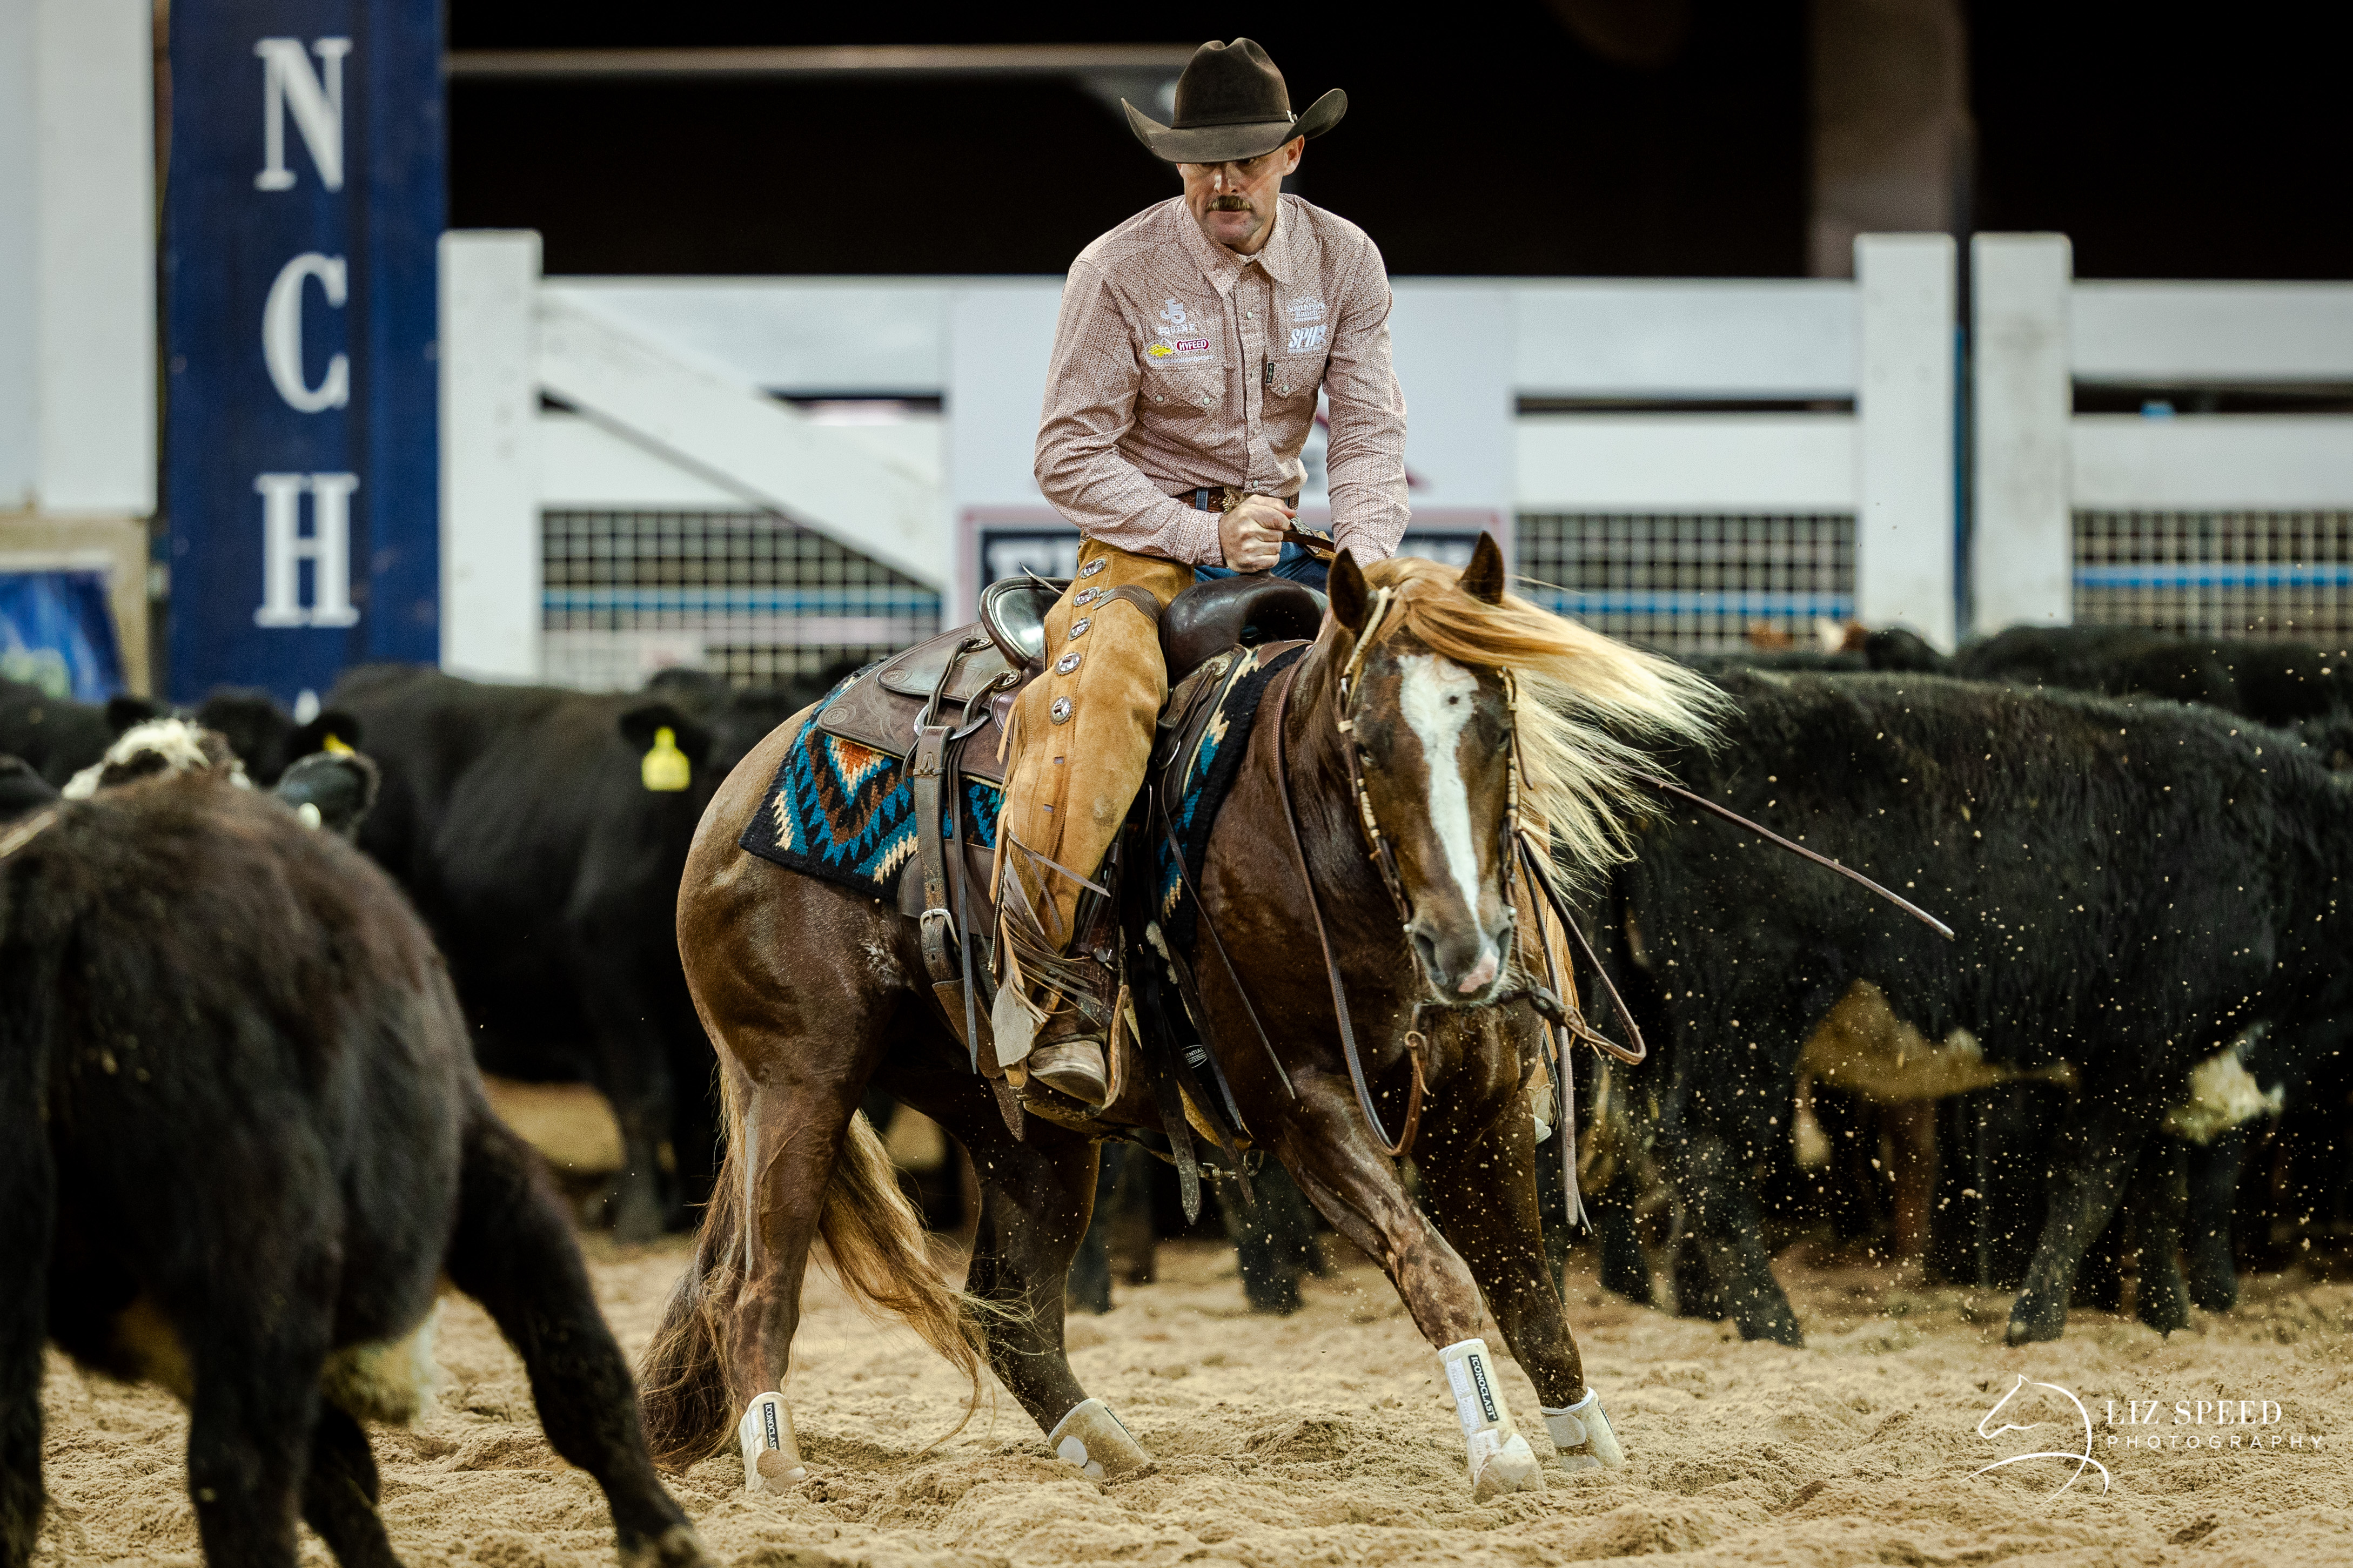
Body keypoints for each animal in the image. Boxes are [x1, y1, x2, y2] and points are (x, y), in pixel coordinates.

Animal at [0, 766, 709, 1568]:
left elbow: (338, 1476)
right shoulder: (492, 1179)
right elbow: (580, 1372)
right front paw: (665, 1536)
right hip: (265, 1256)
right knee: (240, 1469)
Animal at [325, 665, 822, 1239]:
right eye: (724, 767)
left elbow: (704, 1113)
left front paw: (700, 1206)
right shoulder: (614, 975)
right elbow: (646, 1098)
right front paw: (640, 1215)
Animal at [639, 537, 1721, 1499]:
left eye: (1495, 726)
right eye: (1367, 742)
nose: (1466, 950)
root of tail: (748, 782)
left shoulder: (1478, 1107)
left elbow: (1529, 1290)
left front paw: (1587, 1444)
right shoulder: (1303, 1103)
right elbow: (1438, 1265)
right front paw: (1497, 1447)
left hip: (1023, 1126)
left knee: (1014, 1308)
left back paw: (1108, 1447)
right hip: (799, 1081)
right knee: (757, 1282)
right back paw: (778, 1464)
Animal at [1606, 668, 2353, 1344]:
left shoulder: (2173, 1061)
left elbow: (2156, 1196)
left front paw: (2165, 1319)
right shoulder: (2137, 1052)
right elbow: (2089, 1189)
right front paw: (2036, 1321)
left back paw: (1709, 1309)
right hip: (1748, 1011)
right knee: (1710, 1149)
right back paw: (1771, 1323)